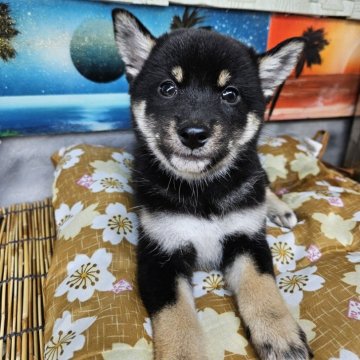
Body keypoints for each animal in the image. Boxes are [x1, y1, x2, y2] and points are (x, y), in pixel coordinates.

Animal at [112, 9, 310, 360]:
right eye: (168, 88)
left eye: (229, 94)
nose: (193, 134)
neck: (202, 190)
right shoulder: (160, 255)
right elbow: (176, 318)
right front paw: (182, 352)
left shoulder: (247, 239)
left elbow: (263, 289)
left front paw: (281, 336)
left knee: (263, 184)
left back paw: (279, 208)